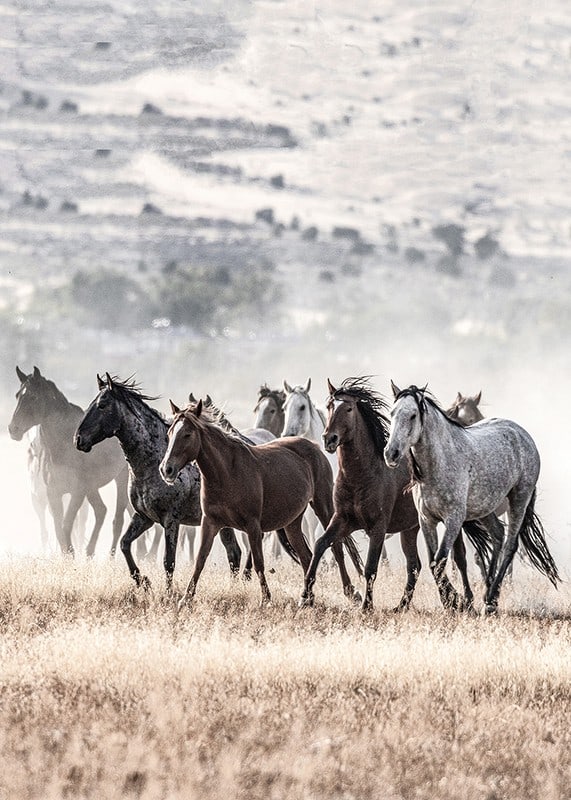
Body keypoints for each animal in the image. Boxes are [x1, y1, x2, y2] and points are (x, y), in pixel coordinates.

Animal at [8, 366, 129, 557]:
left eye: (33, 397)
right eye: (17, 395)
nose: (13, 429)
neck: (63, 446)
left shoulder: (77, 492)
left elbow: (66, 525)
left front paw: (71, 555)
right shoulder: (53, 493)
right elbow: (59, 528)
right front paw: (68, 556)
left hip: (121, 477)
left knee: (117, 519)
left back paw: (109, 556)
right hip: (92, 487)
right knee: (101, 510)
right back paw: (89, 552)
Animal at [74, 374, 244, 591]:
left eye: (102, 405)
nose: (78, 439)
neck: (153, 463)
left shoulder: (171, 520)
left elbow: (168, 561)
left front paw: (168, 593)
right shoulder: (144, 517)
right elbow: (124, 544)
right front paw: (143, 582)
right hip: (222, 523)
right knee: (234, 553)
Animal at [160, 399, 363, 607]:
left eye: (187, 434)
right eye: (170, 433)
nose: (166, 469)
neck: (227, 473)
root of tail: (314, 446)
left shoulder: (253, 526)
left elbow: (258, 562)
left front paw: (266, 599)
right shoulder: (210, 522)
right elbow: (200, 559)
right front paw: (186, 598)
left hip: (323, 507)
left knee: (336, 546)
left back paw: (350, 592)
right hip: (292, 523)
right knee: (306, 556)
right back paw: (308, 598)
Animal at [299, 378, 492, 612]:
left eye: (348, 408)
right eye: (329, 406)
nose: (329, 439)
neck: (363, 475)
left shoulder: (378, 527)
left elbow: (371, 567)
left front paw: (366, 606)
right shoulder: (342, 520)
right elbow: (320, 545)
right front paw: (305, 596)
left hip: (450, 522)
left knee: (459, 559)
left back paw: (466, 602)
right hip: (410, 529)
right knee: (416, 565)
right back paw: (404, 606)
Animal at [384, 383, 560, 613]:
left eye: (413, 415)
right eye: (392, 413)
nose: (391, 453)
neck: (440, 462)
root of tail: (523, 435)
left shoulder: (453, 519)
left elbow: (441, 560)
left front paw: (455, 602)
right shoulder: (426, 520)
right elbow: (434, 562)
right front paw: (455, 601)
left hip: (519, 500)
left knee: (510, 545)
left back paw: (492, 601)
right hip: (486, 508)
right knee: (497, 534)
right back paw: (487, 592)